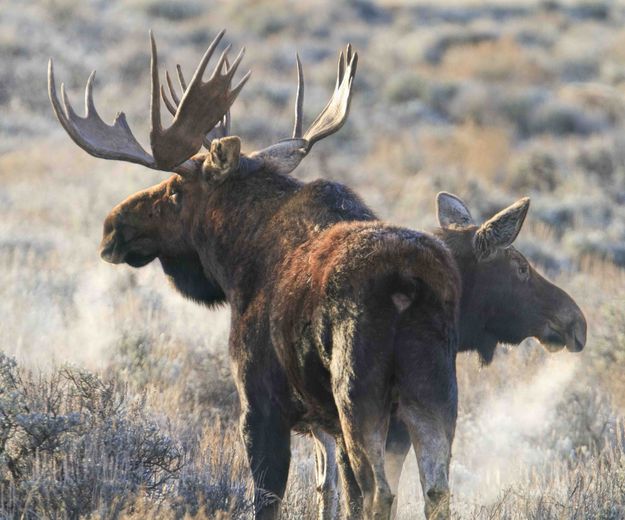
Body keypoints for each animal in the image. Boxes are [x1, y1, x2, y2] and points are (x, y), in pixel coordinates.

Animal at [50, 32, 464, 520]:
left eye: (175, 191)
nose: (112, 227)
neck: (235, 264)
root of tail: (408, 285)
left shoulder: (260, 404)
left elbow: (268, 498)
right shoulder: (324, 422)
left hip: (358, 394)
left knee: (379, 491)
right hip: (435, 396)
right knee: (437, 491)